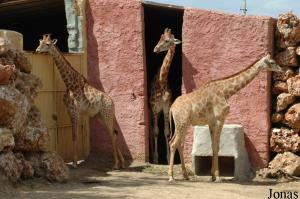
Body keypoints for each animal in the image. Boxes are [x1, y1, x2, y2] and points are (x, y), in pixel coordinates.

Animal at [35, 34, 125, 169]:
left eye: (47, 44)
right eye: (40, 42)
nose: (37, 50)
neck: (70, 84)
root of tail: (113, 102)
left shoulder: (75, 110)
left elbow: (74, 135)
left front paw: (74, 162)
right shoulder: (69, 110)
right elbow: (72, 134)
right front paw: (74, 161)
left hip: (107, 115)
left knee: (112, 134)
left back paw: (116, 164)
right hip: (100, 117)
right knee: (113, 134)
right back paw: (122, 162)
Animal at [169, 52, 284, 182]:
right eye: (272, 62)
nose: (282, 70)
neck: (226, 92)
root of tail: (172, 107)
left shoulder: (212, 122)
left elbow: (213, 146)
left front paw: (213, 176)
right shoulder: (220, 119)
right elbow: (216, 147)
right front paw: (218, 176)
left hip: (183, 125)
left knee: (179, 144)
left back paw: (186, 176)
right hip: (182, 123)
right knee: (173, 144)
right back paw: (171, 176)